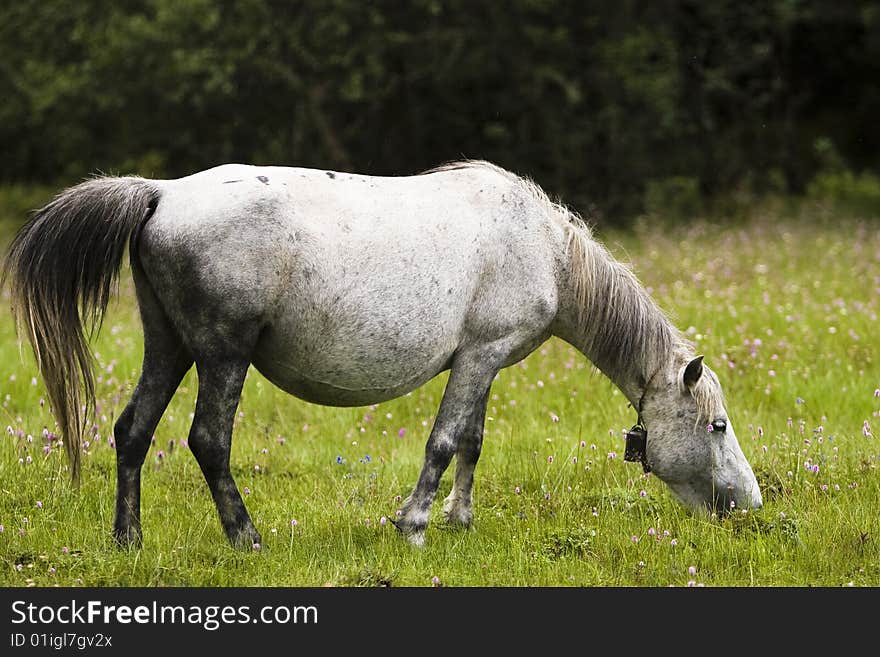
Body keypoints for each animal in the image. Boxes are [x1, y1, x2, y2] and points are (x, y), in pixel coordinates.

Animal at [1, 159, 764, 548]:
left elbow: (472, 442)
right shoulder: (479, 356)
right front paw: (415, 524)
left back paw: (127, 539)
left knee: (133, 431)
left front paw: (460, 520)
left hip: (170, 346)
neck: (544, 248)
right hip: (221, 355)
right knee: (208, 440)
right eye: (717, 426)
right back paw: (245, 537)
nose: (748, 505)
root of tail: (160, 194)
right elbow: (444, 441)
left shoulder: (484, 362)